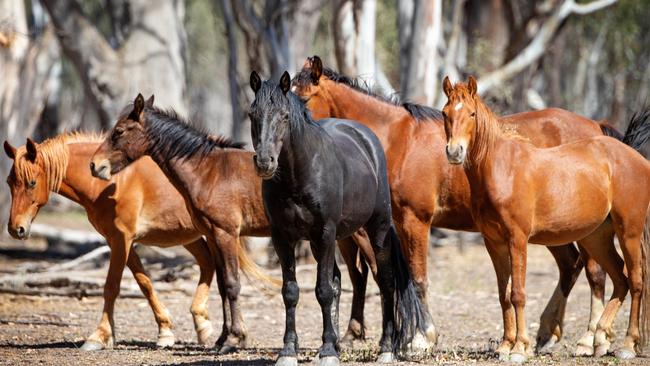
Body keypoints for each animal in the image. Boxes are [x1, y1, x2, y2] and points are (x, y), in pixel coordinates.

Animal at [1, 133, 274, 350]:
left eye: (31, 183)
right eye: (9, 182)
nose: (16, 229)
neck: (110, 183)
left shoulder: (121, 239)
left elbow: (111, 287)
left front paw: (99, 336)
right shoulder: (120, 241)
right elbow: (145, 283)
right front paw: (164, 331)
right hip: (193, 237)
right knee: (208, 266)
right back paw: (202, 324)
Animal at [248, 71, 426, 366]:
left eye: (284, 115)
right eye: (252, 114)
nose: (264, 162)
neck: (299, 174)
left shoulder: (325, 232)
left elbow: (323, 290)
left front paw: (328, 352)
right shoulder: (283, 237)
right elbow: (291, 291)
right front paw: (290, 350)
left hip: (375, 230)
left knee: (386, 282)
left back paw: (386, 348)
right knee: (339, 281)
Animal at [294, 56, 628, 354]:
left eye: (305, 99)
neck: (399, 140)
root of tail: (595, 127)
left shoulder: (415, 221)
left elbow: (415, 279)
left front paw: (422, 338)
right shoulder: (395, 224)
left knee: (594, 273)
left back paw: (589, 339)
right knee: (570, 266)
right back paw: (548, 334)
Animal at [440, 76, 648, 362]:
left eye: (472, 113)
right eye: (445, 113)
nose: (454, 152)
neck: (503, 169)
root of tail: (633, 155)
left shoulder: (517, 240)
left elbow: (517, 293)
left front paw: (519, 348)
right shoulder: (494, 243)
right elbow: (503, 294)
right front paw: (505, 345)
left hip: (629, 232)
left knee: (636, 281)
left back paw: (626, 344)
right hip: (596, 238)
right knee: (620, 279)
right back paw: (599, 338)